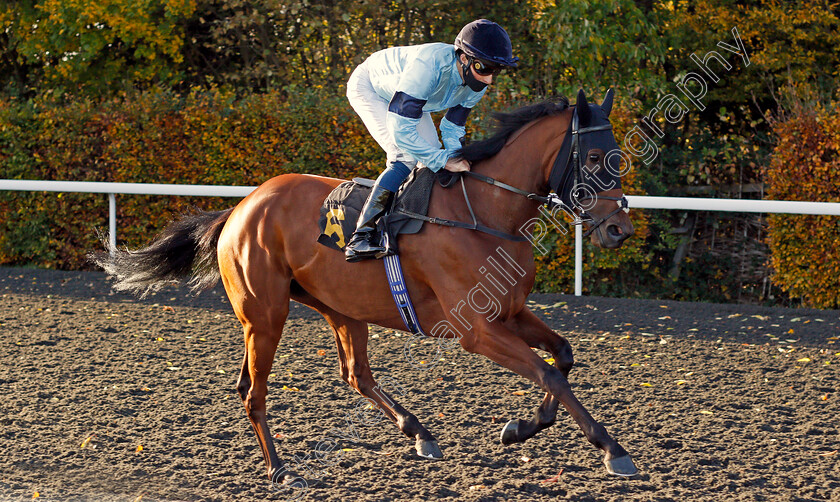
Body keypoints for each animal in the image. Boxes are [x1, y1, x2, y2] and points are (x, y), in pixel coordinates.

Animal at [92, 88, 640, 484]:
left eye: (617, 155)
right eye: (594, 157)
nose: (619, 229)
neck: (483, 213)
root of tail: (241, 207)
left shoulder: (510, 312)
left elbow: (562, 357)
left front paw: (520, 428)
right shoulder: (477, 330)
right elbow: (549, 374)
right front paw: (612, 449)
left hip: (340, 307)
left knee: (355, 374)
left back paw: (419, 433)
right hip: (265, 316)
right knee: (254, 391)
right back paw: (281, 469)